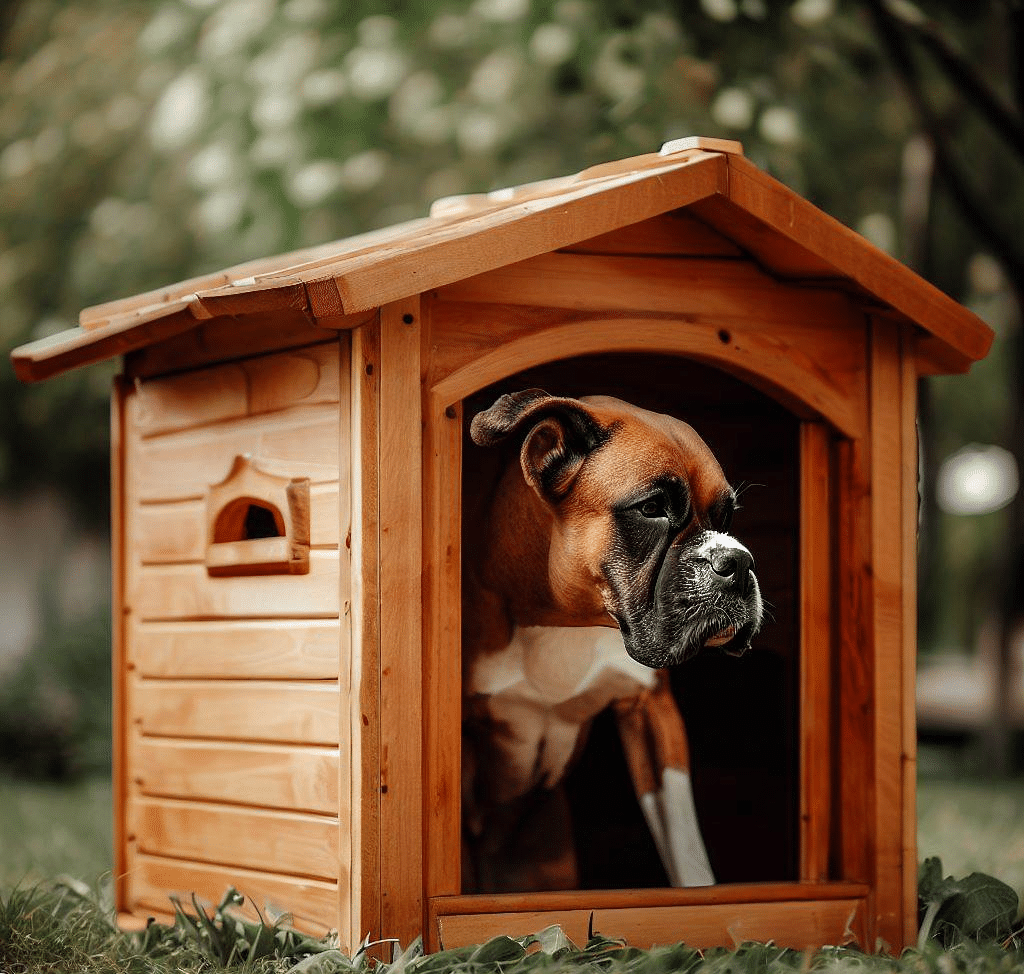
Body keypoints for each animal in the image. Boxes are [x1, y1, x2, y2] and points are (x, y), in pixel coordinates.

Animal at [462, 393, 761, 893]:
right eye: (652, 507)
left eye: (727, 516)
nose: (737, 562)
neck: (562, 621)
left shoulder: (652, 713)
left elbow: (687, 849)